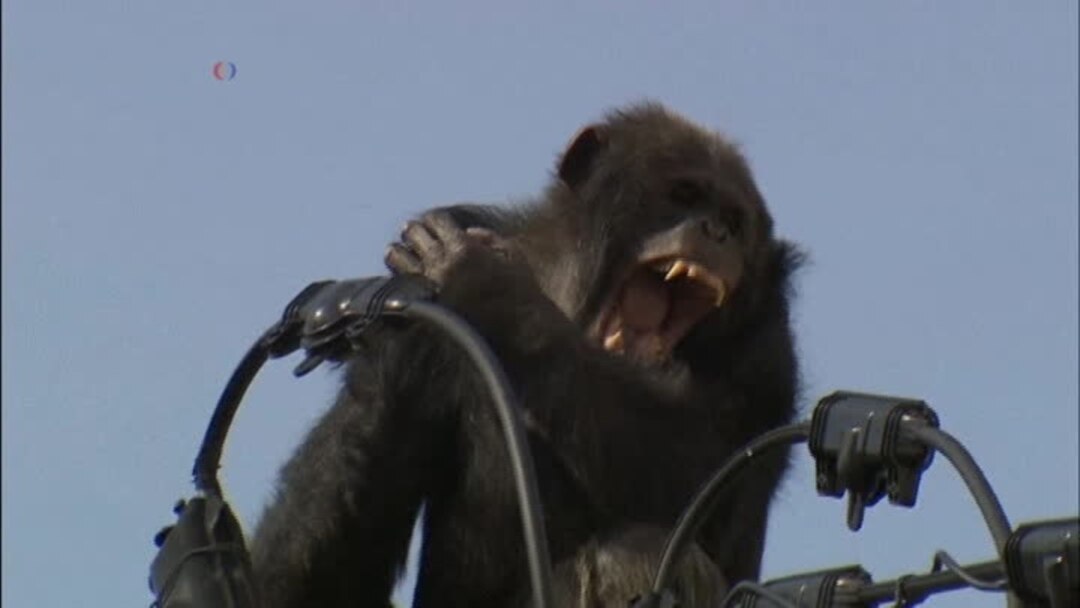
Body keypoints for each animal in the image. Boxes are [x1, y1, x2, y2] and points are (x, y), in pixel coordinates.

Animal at [250, 102, 803, 604]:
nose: (715, 231)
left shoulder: (769, 348)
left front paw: (490, 285)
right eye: (684, 193)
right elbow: (336, 558)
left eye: (735, 219)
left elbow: (706, 473)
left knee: (640, 548)